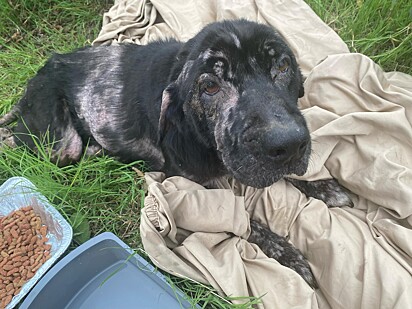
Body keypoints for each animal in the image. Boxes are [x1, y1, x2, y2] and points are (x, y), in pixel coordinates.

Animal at [1, 19, 352, 286]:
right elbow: (246, 221)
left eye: (282, 65)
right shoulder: (194, 190)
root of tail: (39, 74)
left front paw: (324, 187)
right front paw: (289, 256)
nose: (288, 144)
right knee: (21, 142)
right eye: (209, 86)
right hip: (60, 146)